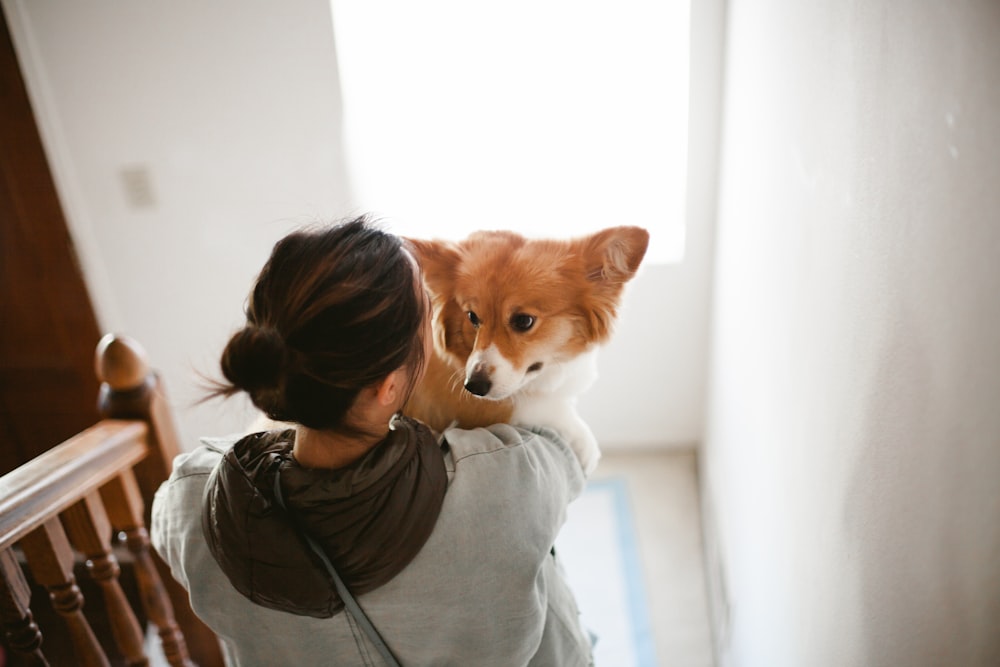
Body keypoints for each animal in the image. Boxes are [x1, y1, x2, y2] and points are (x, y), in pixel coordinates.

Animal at [406, 228, 648, 474]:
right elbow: (535, 406)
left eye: (523, 321)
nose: (473, 386)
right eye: (472, 317)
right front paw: (585, 444)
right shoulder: (479, 404)